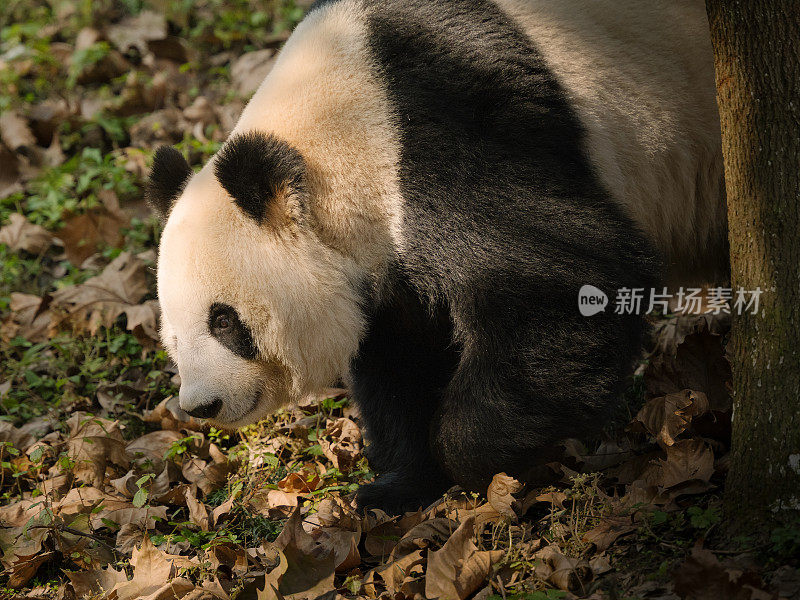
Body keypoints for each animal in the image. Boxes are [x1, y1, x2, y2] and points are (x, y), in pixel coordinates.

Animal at [147, 0, 728, 510]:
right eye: (173, 336)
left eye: (224, 321)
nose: (201, 404)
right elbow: (397, 357)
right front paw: (398, 485)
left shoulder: (454, 133)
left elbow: (567, 276)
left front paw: (475, 458)